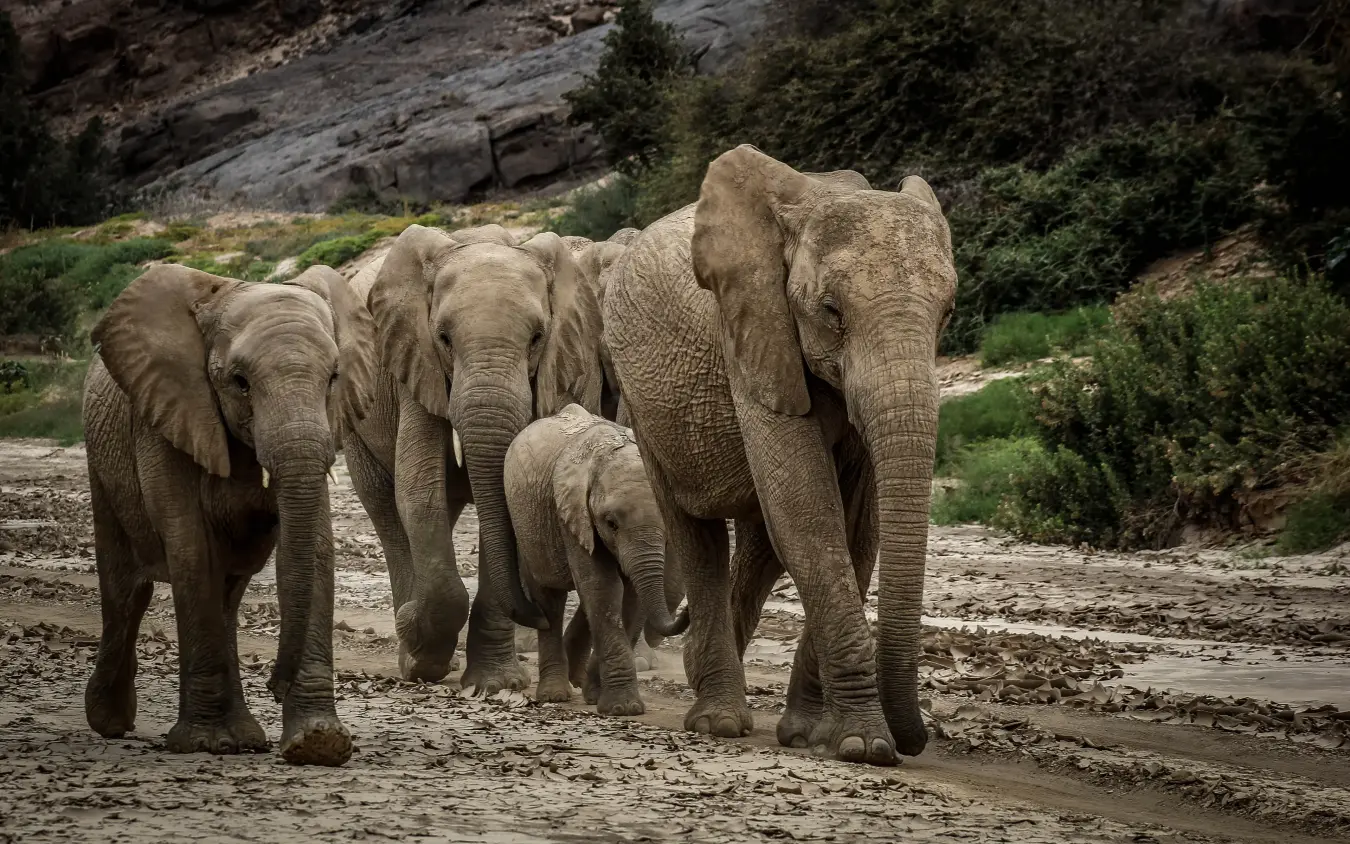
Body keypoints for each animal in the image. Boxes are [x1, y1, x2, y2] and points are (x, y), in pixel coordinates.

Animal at [82, 263, 369, 766]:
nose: (275, 684)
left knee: (227, 595)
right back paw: (111, 722)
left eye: (334, 377)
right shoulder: (168, 414)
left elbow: (315, 549)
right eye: (240, 382)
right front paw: (203, 744)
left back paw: (244, 737)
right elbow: (191, 547)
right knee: (126, 587)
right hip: (102, 464)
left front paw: (318, 744)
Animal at [344, 223, 633, 691]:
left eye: (537, 338)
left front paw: (495, 683)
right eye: (443, 338)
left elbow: (508, 494)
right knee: (385, 506)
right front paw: (423, 655)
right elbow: (418, 491)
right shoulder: (414, 363)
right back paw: (411, 649)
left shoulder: (570, 365)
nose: (535, 612)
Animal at [504, 404, 687, 714]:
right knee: (549, 600)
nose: (686, 614)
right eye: (611, 523)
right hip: (527, 526)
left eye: (667, 522)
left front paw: (600, 697)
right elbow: (603, 588)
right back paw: (555, 694)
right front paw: (623, 708)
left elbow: (630, 596)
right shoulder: (571, 514)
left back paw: (580, 684)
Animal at [602, 145, 957, 766]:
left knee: (762, 545)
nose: (915, 741)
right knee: (697, 535)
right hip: (643, 407)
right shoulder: (750, 332)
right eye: (832, 311)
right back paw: (717, 719)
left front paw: (816, 735)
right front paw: (867, 745)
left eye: (948, 313)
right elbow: (809, 515)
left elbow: (856, 529)